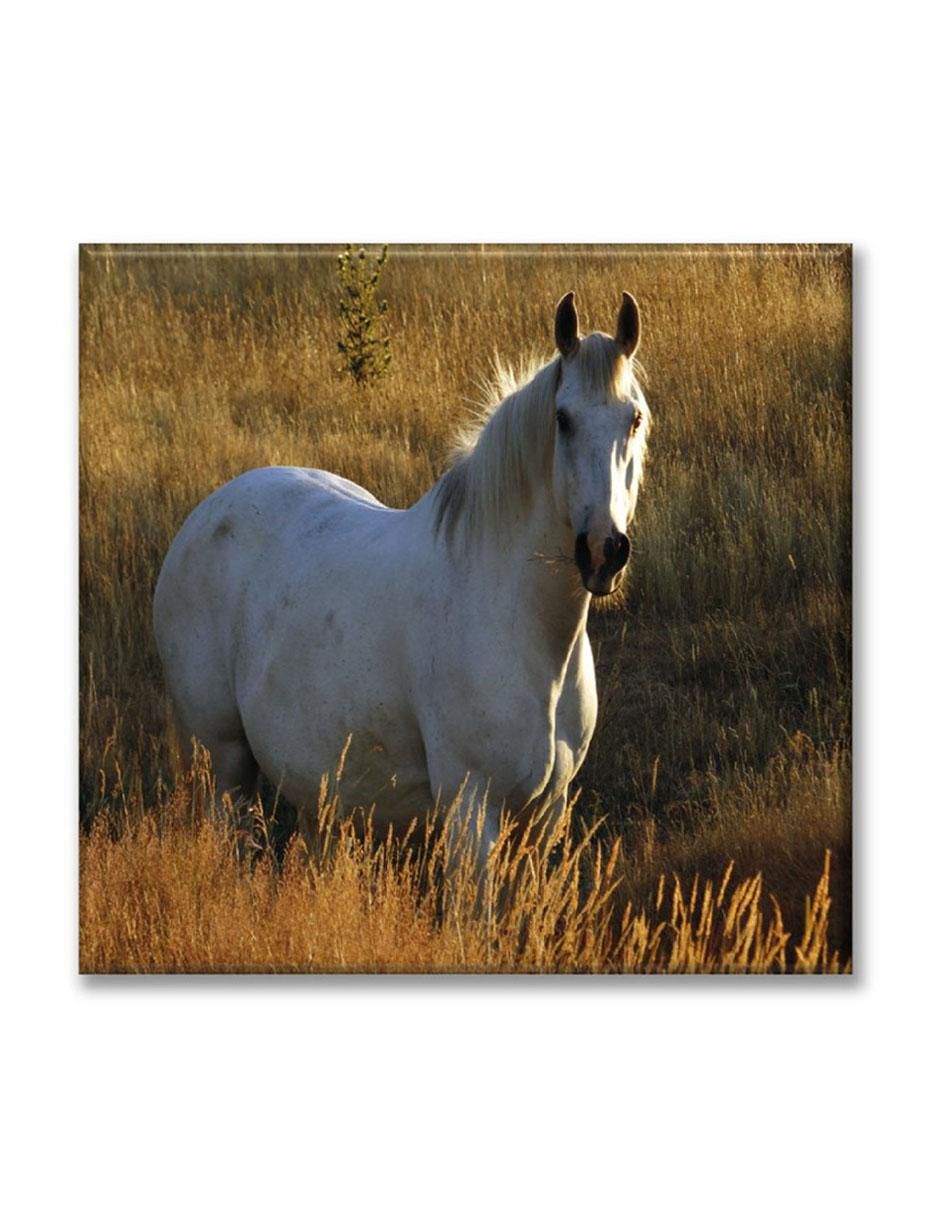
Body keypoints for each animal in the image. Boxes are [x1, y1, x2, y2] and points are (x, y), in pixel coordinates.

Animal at [153, 291, 651, 866]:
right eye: (563, 419)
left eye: (634, 418)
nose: (603, 551)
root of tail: (204, 515)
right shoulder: (469, 809)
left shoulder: (545, 816)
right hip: (225, 764)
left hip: (316, 785)